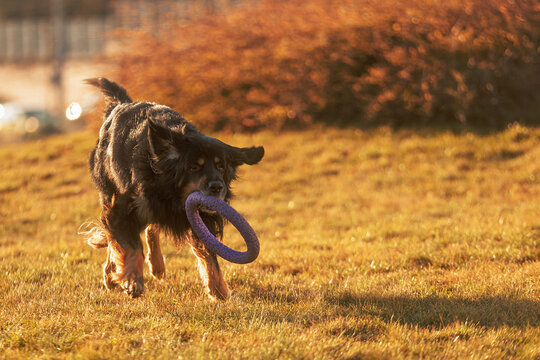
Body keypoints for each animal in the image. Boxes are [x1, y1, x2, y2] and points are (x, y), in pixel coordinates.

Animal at [83, 77, 264, 300]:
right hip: (111, 192)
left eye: (221, 166)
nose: (217, 187)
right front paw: (132, 279)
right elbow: (129, 245)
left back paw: (156, 265)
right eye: (194, 167)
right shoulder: (123, 207)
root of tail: (121, 103)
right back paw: (112, 274)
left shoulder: (200, 218)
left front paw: (218, 289)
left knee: (150, 228)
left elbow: (208, 254)